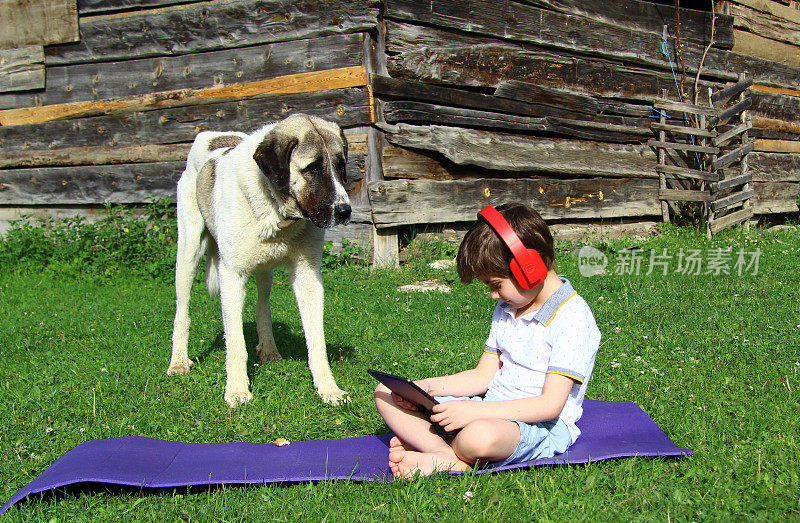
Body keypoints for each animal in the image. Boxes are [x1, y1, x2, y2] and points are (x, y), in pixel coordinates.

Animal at [168, 114, 350, 408]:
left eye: (341, 165)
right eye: (312, 168)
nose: (345, 211)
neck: (277, 211)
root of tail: (210, 134)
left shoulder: (308, 275)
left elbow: (317, 340)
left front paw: (328, 388)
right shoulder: (232, 276)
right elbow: (235, 344)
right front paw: (237, 390)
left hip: (264, 271)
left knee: (262, 306)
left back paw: (269, 348)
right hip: (188, 252)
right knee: (182, 312)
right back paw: (178, 361)